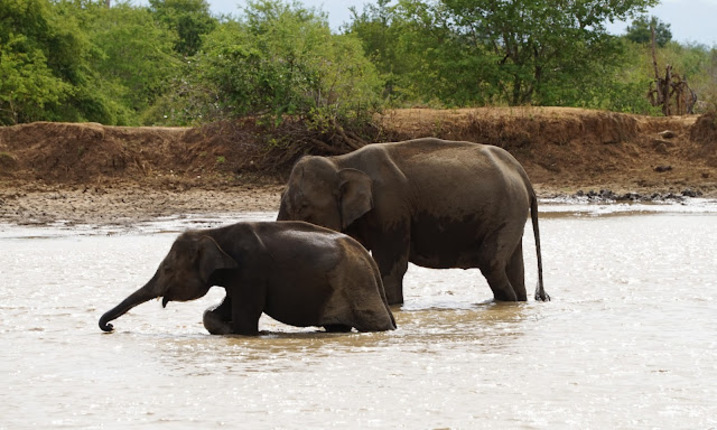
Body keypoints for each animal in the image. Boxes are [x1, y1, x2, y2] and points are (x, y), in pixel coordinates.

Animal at [98, 222, 394, 336]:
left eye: (169, 269)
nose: (109, 327)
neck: (215, 234)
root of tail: (370, 262)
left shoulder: (250, 271)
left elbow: (244, 321)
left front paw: (248, 333)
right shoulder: (237, 277)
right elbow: (220, 309)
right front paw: (226, 326)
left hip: (357, 286)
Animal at [276, 138, 544, 306]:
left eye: (302, 207)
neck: (340, 161)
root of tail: (522, 172)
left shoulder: (391, 209)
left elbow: (389, 266)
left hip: (507, 211)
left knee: (491, 262)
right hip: (512, 211)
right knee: (513, 266)